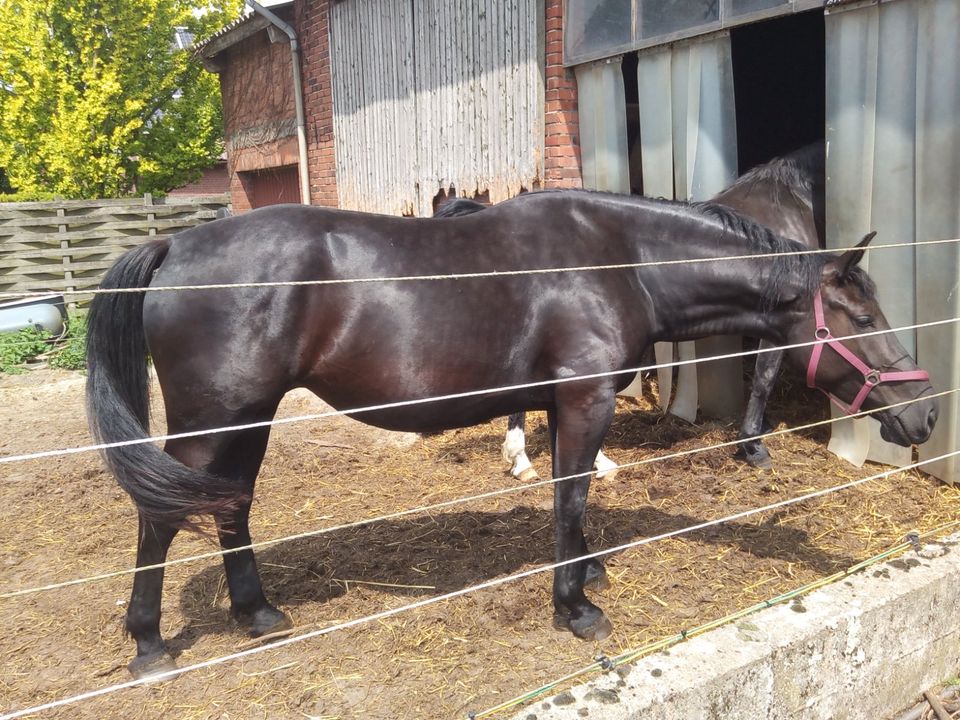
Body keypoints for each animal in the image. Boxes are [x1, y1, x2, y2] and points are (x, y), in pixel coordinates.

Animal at [86, 188, 932, 676]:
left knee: (230, 505)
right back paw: (148, 645)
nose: (922, 411)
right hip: (212, 419)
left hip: (248, 417)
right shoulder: (585, 399)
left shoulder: (563, 404)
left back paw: (257, 613)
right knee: (161, 517)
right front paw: (577, 608)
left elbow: (569, 497)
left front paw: (586, 573)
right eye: (859, 315)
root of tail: (176, 245)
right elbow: (571, 495)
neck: (621, 259)